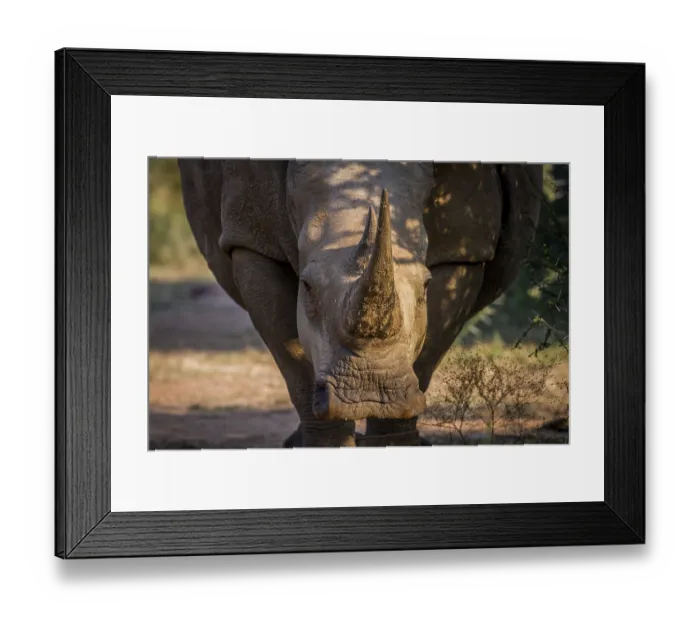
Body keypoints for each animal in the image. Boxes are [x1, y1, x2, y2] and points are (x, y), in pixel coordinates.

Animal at [177, 159, 543, 447]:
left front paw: (397, 442)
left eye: (426, 286)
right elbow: (294, 364)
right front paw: (325, 445)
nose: (368, 395)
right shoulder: (252, 241)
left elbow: (426, 355)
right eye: (306, 286)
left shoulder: (464, 250)